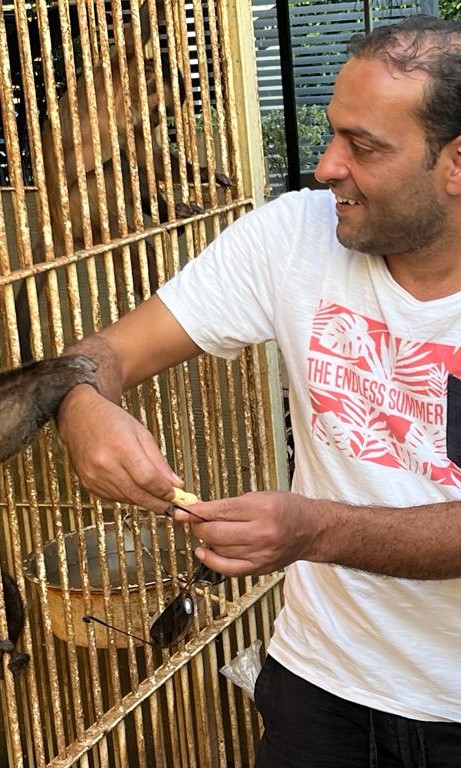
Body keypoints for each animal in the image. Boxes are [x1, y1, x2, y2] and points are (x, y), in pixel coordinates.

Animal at [15, 0, 232, 362]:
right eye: (160, 108)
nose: (158, 119)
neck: (126, 89)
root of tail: (55, 227)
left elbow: (148, 157)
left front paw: (200, 175)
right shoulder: (121, 72)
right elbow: (136, 29)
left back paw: (167, 214)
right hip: (82, 215)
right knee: (107, 174)